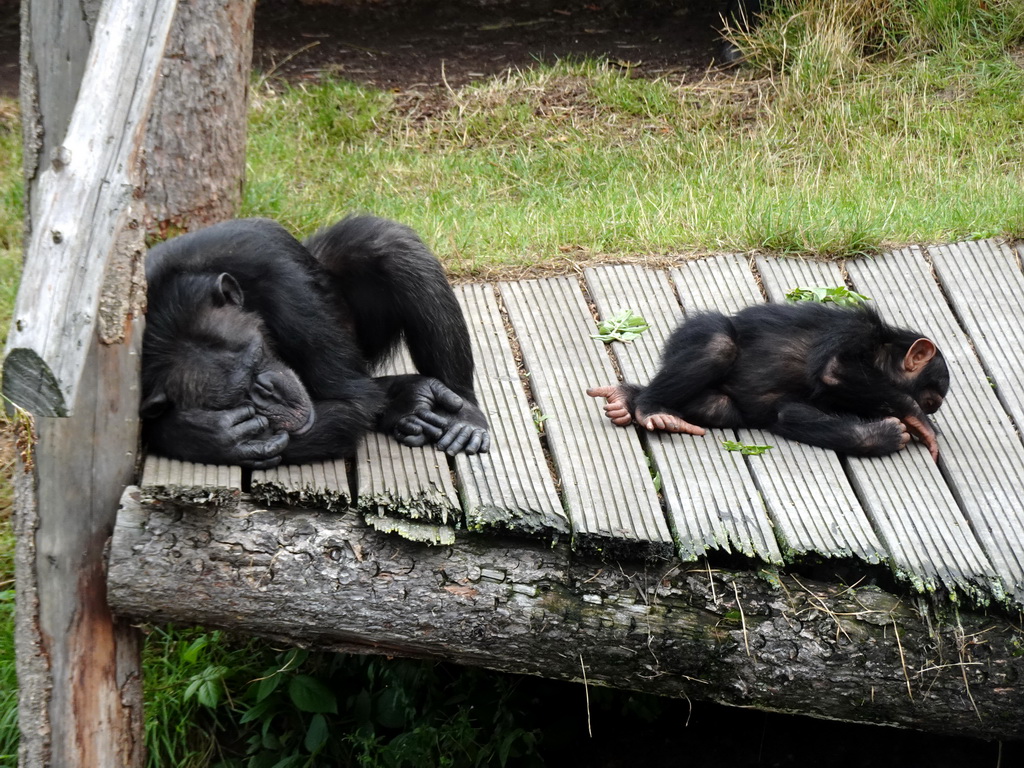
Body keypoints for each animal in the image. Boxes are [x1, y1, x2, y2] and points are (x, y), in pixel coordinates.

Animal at [142, 215, 489, 468]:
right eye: (236, 397)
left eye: (259, 355)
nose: (270, 391)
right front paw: (205, 437)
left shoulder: (284, 281)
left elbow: (352, 400)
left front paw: (209, 438)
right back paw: (408, 402)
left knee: (385, 243)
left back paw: (461, 415)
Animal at [589, 299, 946, 456]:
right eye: (930, 401)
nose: (929, 409)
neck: (881, 353)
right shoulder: (856, 331)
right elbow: (834, 369)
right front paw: (912, 420)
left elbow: (790, 413)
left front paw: (881, 433)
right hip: (697, 333)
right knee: (718, 343)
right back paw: (649, 407)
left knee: (718, 408)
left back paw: (626, 399)